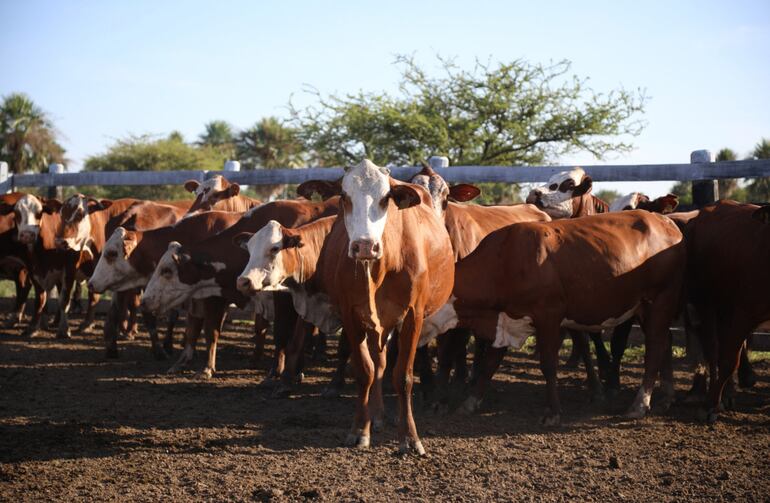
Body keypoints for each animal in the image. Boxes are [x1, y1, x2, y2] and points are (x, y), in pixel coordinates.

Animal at [420, 210, 684, 426]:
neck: (505, 260)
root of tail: (665, 222)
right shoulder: (507, 321)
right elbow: (489, 365)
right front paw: (469, 403)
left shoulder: (548, 316)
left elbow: (548, 364)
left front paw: (553, 412)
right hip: (645, 308)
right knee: (664, 342)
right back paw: (665, 397)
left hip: (660, 300)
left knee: (654, 347)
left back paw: (639, 404)